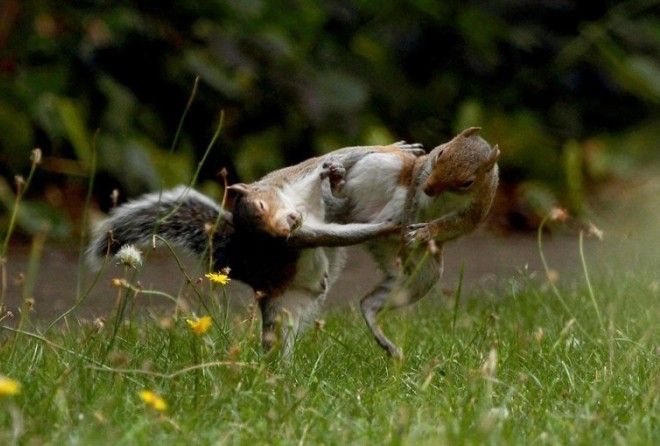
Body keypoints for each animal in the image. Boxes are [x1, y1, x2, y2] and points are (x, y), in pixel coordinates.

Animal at [87, 141, 426, 358]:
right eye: (267, 241)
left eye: (262, 205)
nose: (285, 228)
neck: (296, 203)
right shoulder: (303, 234)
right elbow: (334, 235)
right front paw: (388, 225)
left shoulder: (301, 175)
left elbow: (338, 159)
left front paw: (398, 148)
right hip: (279, 308)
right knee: (275, 342)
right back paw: (275, 376)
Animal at [316, 127, 500, 358]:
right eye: (440, 152)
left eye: (467, 182)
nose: (430, 188)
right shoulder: (419, 179)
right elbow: (411, 203)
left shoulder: (474, 212)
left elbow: (450, 226)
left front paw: (423, 233)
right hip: (383, 167)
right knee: (349, 193)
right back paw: (338, 181)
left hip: (422, 274)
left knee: (368, 303)